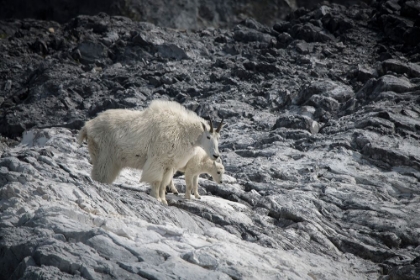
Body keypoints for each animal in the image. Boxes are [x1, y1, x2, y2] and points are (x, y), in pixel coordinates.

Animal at [77, 99, 225, 205]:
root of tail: (87, 126)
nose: (216, 155)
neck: (184, 131)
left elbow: (164, 184)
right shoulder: (158, 160)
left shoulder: (169, 165)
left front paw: (164, 200)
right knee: (99, 173)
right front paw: (157, 198)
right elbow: (157, 180)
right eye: (208, 136)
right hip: (104, 154)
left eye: (218, 137)